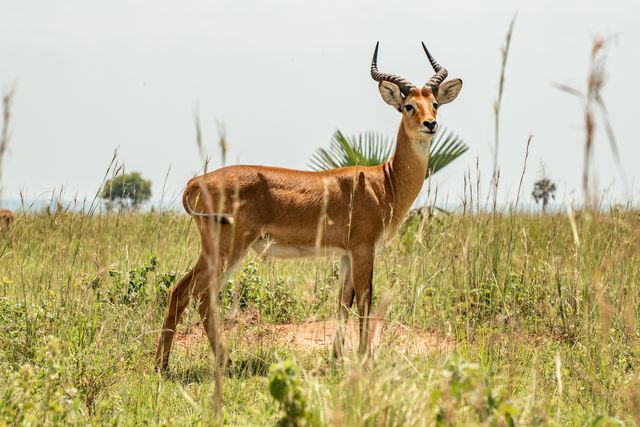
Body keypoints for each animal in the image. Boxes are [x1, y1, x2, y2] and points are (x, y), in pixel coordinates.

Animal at [157, 42, 462, 372]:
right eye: (409, 106)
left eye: (435, 103)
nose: (430, 124)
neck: (384, 182)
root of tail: (195, 182)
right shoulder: (363, 249)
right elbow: (365, 300)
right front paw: (364, 359)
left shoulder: (345, 254)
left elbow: (343, 303)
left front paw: (336, 359)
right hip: (228, 248)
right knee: (190, 293)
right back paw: (183, 364)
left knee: (191, 294)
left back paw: (188, 362)